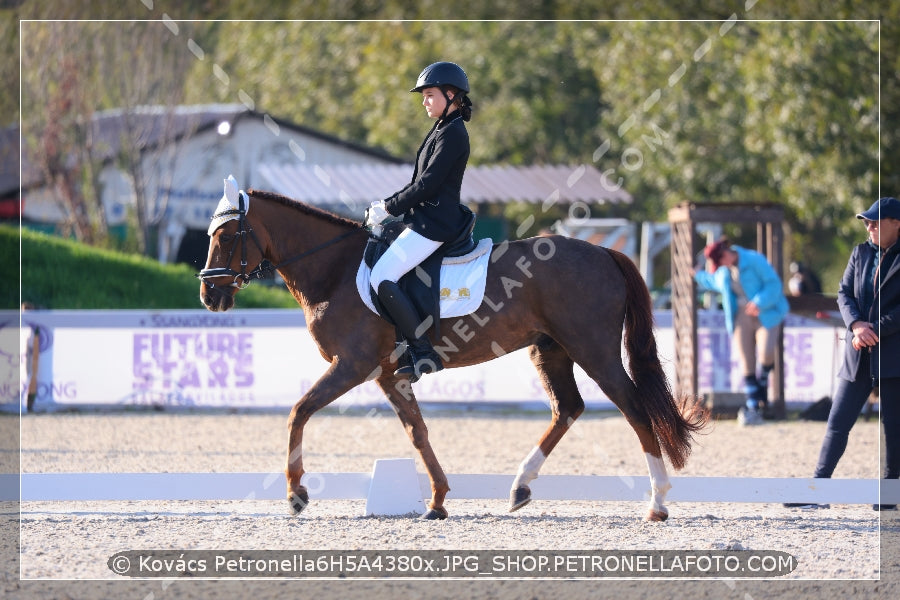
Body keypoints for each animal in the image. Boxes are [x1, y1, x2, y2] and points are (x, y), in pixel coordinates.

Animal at [199, 186, 712, 520]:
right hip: (551, 350)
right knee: (568, 407)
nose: (209, 297)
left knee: (634, 409)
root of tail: (605, 252)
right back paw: (520, 487)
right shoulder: (389, 374)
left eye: (224, 238)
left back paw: (658, 503)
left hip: (594, 350)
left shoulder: (352, 366)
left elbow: (298, 412)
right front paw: (438, 500)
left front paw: (296, 493)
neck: (334, 270)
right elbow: (418, 433)